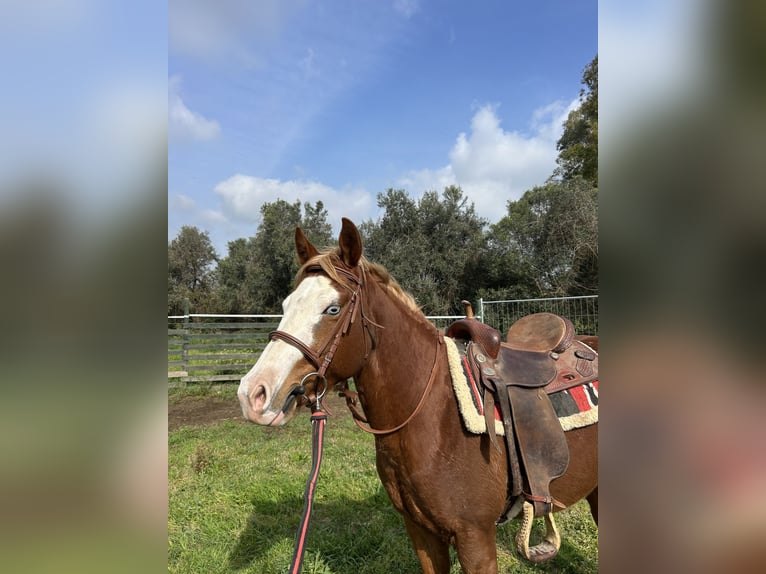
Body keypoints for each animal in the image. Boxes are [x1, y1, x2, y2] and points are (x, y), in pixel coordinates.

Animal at [238, 218, 598, 574]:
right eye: (286, 305)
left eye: (333, 309)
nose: (253, 394)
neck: (434, 416)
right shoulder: (421, 531)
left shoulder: (475, 538)